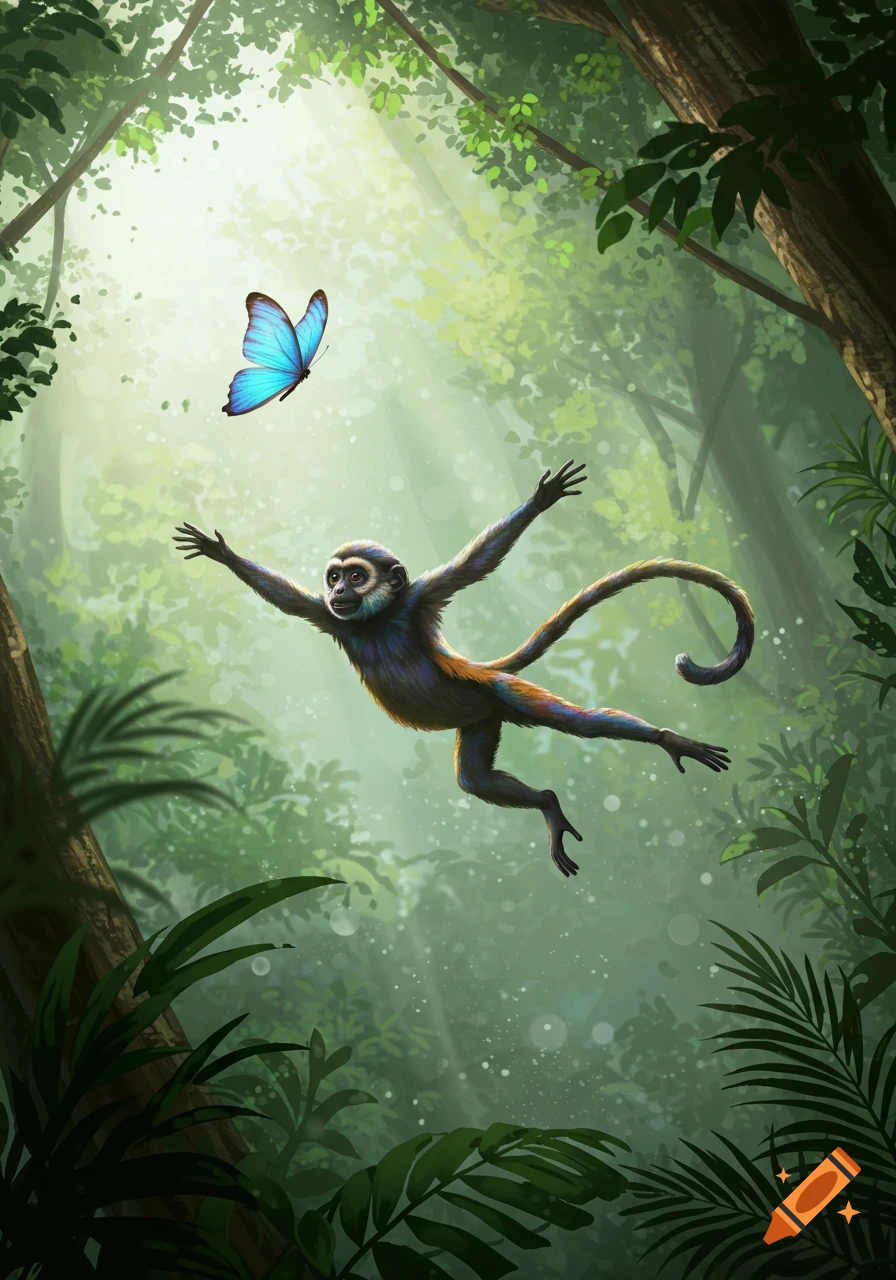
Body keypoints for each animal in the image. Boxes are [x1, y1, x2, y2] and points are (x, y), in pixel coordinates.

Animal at [174, 459, 753, 877]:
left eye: (355, 576)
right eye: (334, 578)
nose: (339, 590)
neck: (376, 621)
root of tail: (479, 675)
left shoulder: (420, 600)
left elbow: (474, 566)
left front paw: (539, 502)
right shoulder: (329, 618)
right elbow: (288, 600)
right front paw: (222, 554)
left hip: (500, 692)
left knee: (578, 724)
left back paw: (664, 741)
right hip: (481, 720)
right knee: (474, 779)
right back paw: (547, 803)